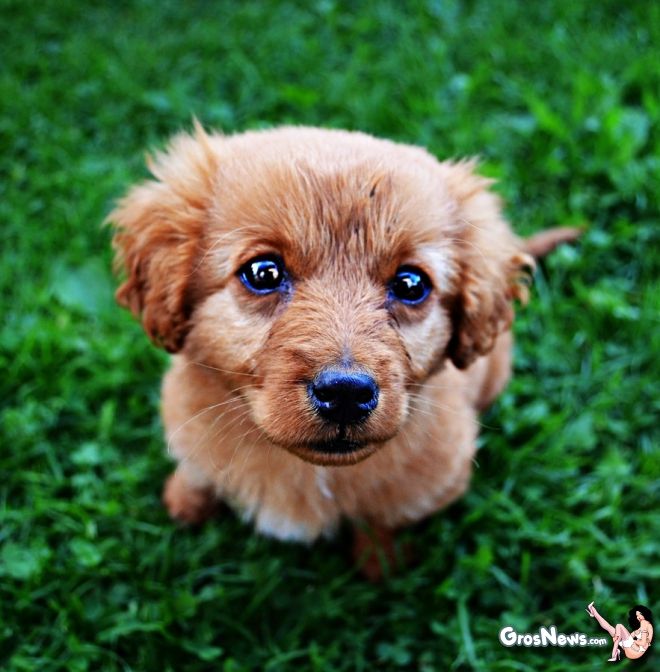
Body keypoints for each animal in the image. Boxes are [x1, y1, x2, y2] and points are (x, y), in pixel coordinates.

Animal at [109, 124, 579, 578]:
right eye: (263, 273)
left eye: (411, 284)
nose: (346, 393)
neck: (309, 469)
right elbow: (196, 471)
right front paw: (185, 503)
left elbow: (383, 519)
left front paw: (380, 563)